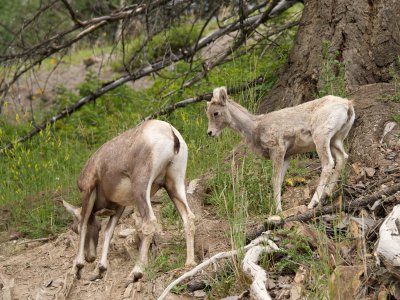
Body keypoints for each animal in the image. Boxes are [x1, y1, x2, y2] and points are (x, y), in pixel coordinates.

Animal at [61, 119, 197, 282]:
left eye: (73, 229)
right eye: (98, 227)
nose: (90, 257)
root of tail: (170, 132)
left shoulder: (88, 190)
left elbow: (84, 224)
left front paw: (78, 267)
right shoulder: (120, 206)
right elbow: (109, 231)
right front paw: (100, 269)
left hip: (141, 186)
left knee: (149, 222)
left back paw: (136, 272)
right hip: (174, 183)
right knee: (188, 217)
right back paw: (190, 263)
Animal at [206, 88, 354, 212]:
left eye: (216, 113)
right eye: (207, 113)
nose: (210, 133)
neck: (255, 128)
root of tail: (348, 105)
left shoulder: (277, 149)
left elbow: (275, 180)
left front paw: (277, 210)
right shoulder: (287, 155)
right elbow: (280, 179)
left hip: (321, 137)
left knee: (328, 163)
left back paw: (313, 203)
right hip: (336, 140)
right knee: (343, 157)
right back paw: (327, 194)